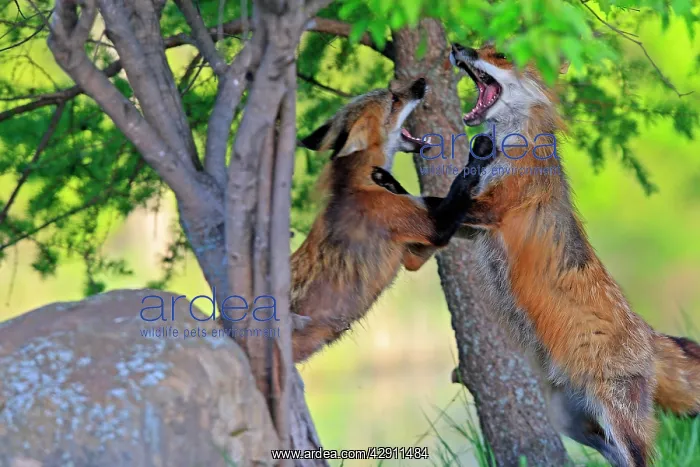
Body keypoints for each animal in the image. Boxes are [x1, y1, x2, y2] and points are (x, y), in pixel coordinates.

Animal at [290, 78, 493, 362]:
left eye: (393, 93)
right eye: (394, 101)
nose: (421, 81)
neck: (357, 185)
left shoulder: (412, 255)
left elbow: (430, 200)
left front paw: (389, 181)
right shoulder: (433, 227)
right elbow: (459, 185)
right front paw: (481, 151)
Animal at [443, 43, 700, 466]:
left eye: (500, 54)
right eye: (480, 46)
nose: (456, 47)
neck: (514, 144)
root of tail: (647, 333)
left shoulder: (494, 210)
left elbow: (430, 199)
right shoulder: (471, 226)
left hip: (618, 419)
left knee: (641, 457)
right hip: (571, 419)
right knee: (611, 454)